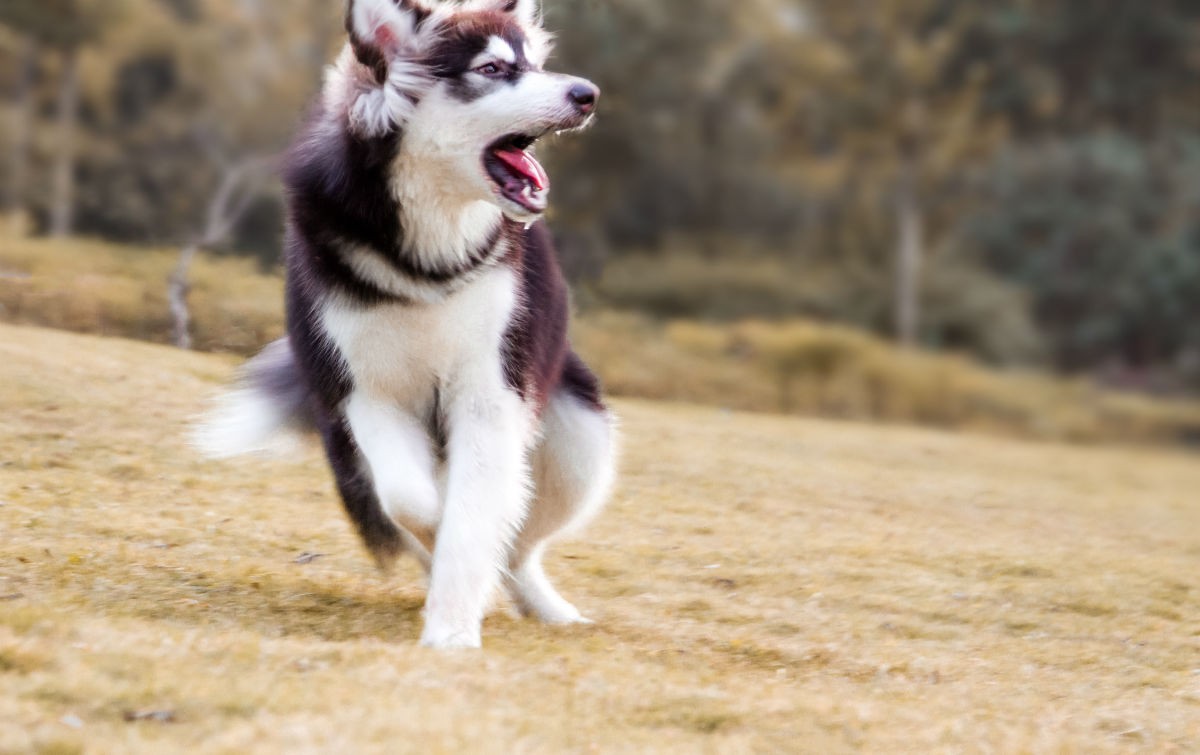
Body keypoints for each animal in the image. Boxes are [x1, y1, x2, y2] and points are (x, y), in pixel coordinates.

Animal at [194, 0, 619, 648]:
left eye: (534, 64)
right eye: (493, 68)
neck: (423, 257)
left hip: (579, 445)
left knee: (520, 548)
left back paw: (547, 607)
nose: (588, 93)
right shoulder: (366, 392)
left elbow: (474, 516)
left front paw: (451, 632)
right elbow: (412, 501)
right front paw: (440, 549)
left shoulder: (490, 393)